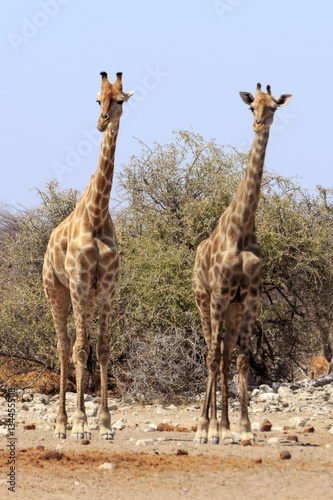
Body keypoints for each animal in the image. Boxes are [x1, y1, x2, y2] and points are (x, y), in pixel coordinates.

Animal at [42, 72, 134, 440]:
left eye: (120, 100)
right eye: (97, 99)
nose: (101, 122)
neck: (96, 215)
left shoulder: (106, 287)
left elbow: (104, 348)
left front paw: (105, 423)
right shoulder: (79, 281)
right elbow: (81, 349)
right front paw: (81, 423)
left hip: (89, 296)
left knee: (82, 345)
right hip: (56, 289)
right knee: (65, 346)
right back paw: (61, 424)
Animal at [192, 83, 290, 446]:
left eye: (273, 106)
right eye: (252, 107)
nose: (259, 124)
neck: (242, 227)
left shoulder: (250, 298)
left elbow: (243, 359)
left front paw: (245, 427)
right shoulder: (220, 293)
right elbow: (212, 357)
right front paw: (205, 428)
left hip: (231, 309)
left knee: (223, 357)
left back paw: (224, 427)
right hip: (204, 300)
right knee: (212, 353)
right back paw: (209, 427)